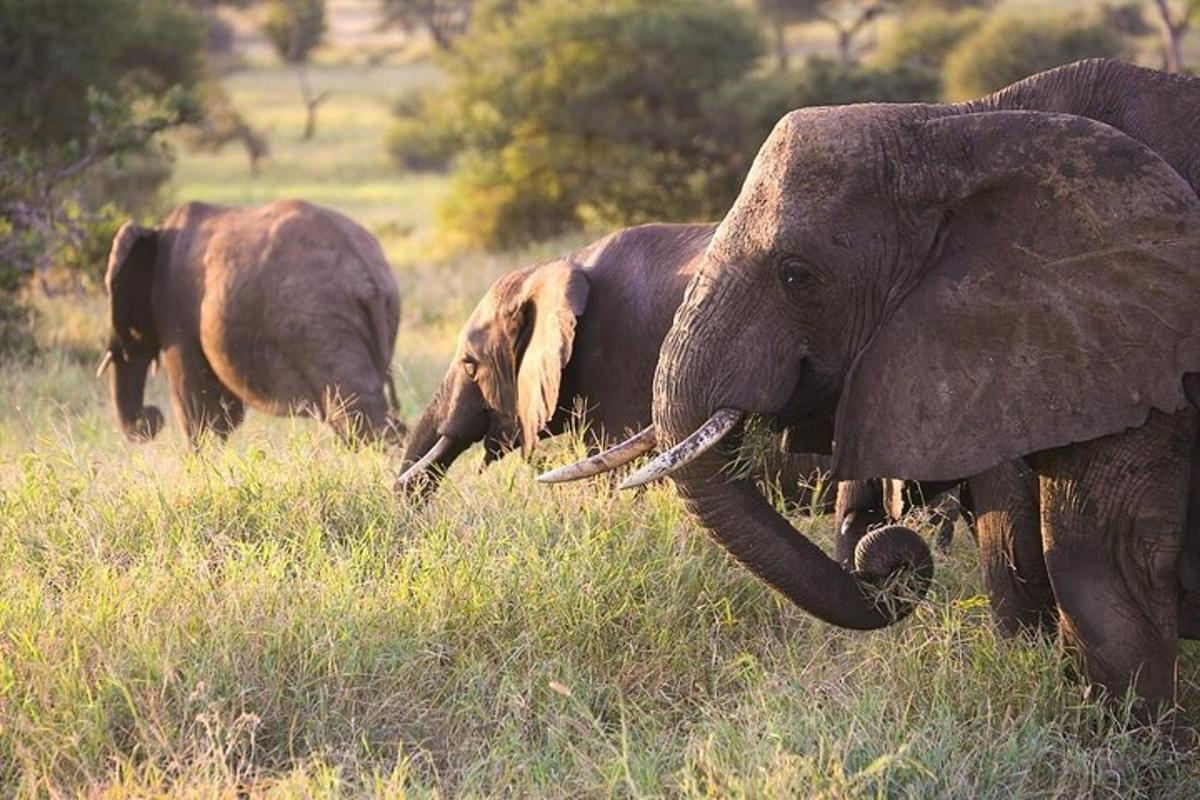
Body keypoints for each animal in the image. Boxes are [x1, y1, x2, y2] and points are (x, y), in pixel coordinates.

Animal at [96, 199, 400, 443]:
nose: (151, 418)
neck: (156, 232)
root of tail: (368, 274)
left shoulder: (174, 310)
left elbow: (195, 407)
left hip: (321, 324)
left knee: (357, 416)